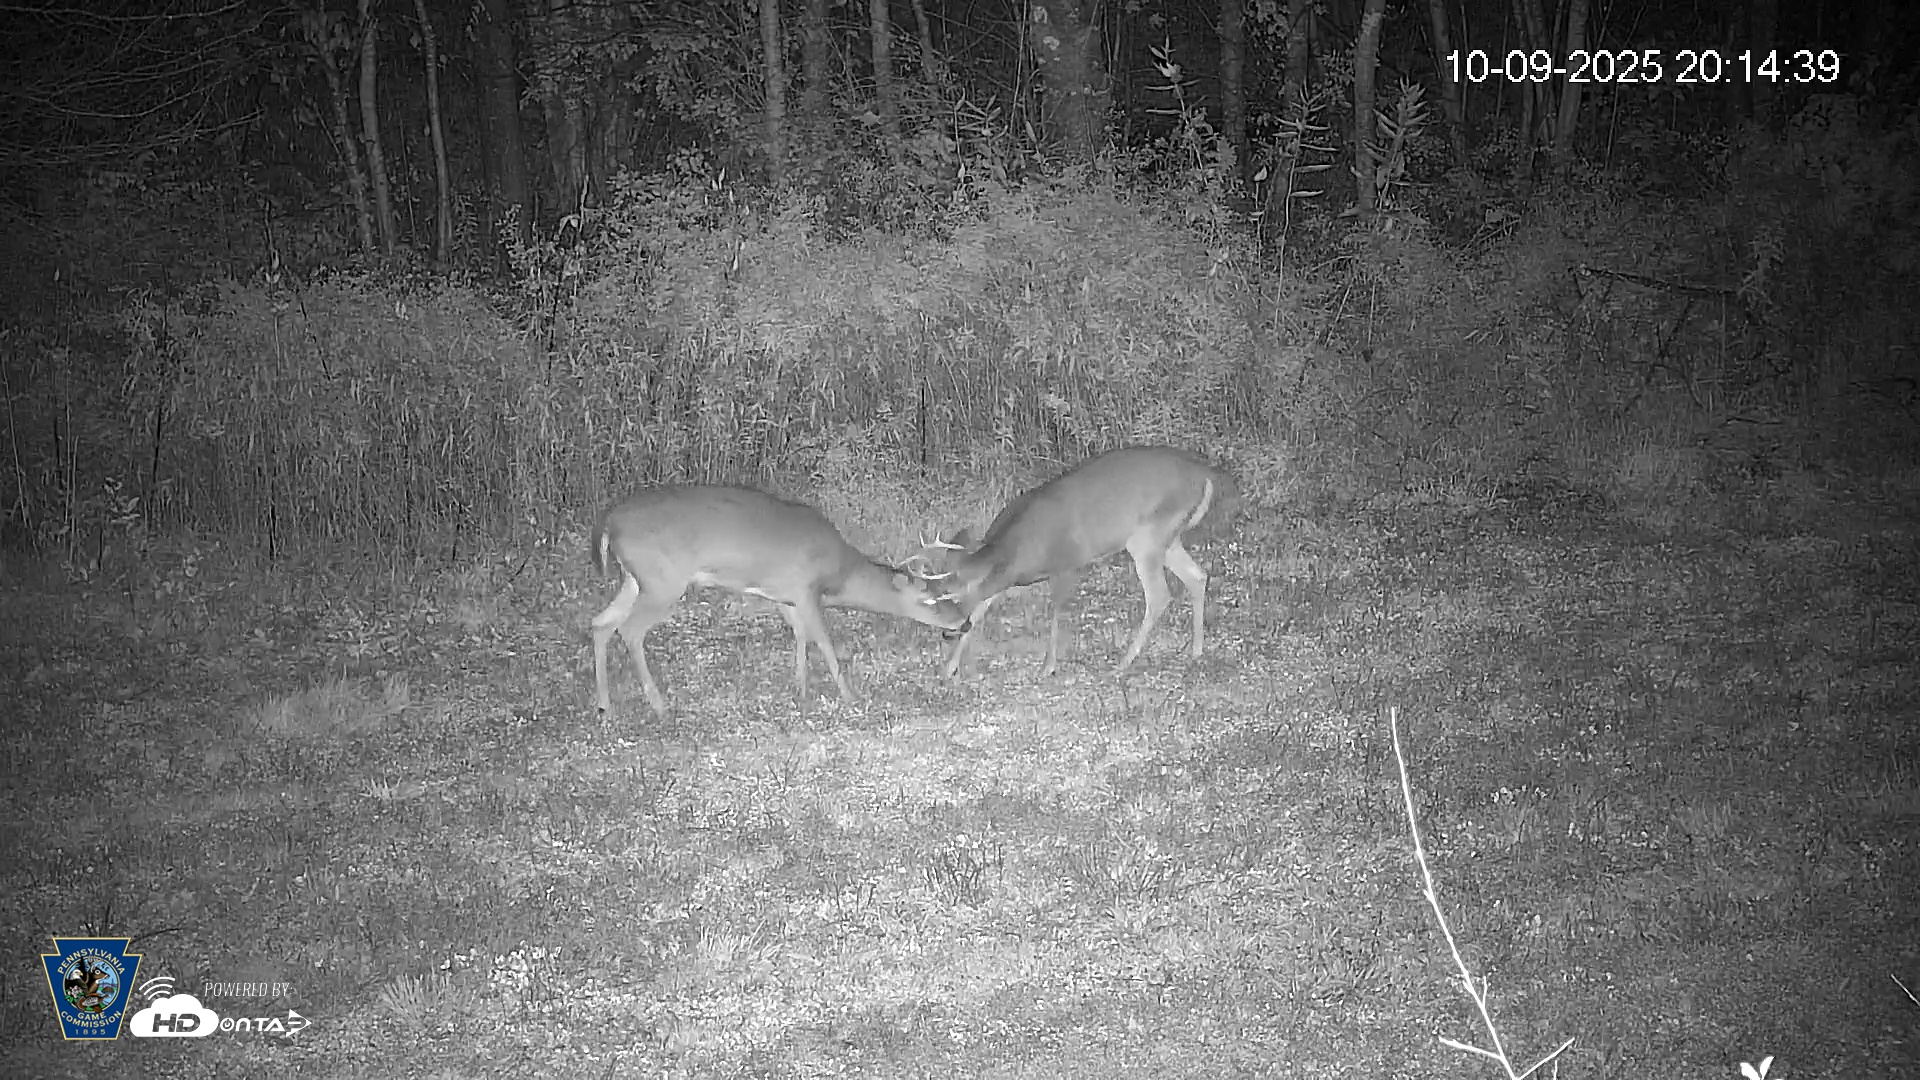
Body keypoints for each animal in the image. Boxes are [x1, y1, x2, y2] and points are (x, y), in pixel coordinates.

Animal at [590, 486, 968, 716]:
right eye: (931, 598)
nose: (964, 622)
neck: (839, 573)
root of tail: (609, 523)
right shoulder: (806, 589)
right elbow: (823, 641)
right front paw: (849, 695)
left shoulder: (787, 596)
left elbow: (800, 636)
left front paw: (801, 687)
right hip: (663, 581)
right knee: (630, 629)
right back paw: (658, 704)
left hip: (636, 579)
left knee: (600, 624)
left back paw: (605, 706)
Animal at [925, 446, 1240, 678]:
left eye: (952, 593)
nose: (946, 632)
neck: (1015, 551)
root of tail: (1207, 475)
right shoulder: (1004, 578)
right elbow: (980, 611)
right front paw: (948, 669)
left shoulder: (1066, 562)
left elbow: (1055, 612)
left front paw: (1048, 666)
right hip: (1167, 537)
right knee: (1197, 576)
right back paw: (1196, 651)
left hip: (1148, 536)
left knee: (1160, 594)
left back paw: (1123, 663)